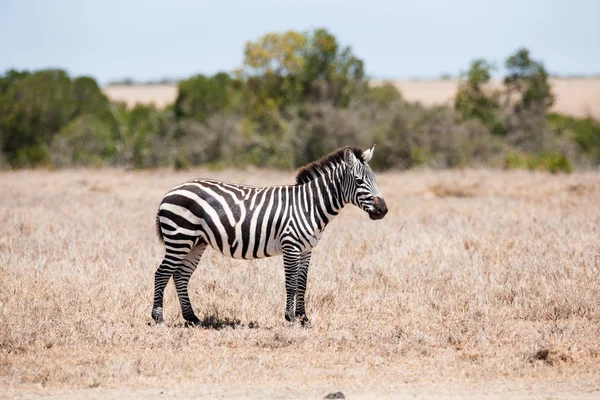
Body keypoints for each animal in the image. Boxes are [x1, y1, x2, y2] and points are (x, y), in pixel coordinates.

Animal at [151, 145, 390, 326]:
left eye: (375, 179)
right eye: (359, 181)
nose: (383, 210)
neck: (310, 205)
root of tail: (171, 191)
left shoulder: (307, 249)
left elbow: (302, 283)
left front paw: (304, 319)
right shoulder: (291, 246)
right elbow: (291, 283)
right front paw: (291, 319)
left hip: (196, 242)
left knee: (180, 275)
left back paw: (193, 318)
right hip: (179, 238)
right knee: (162, 273)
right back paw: (159, 318)